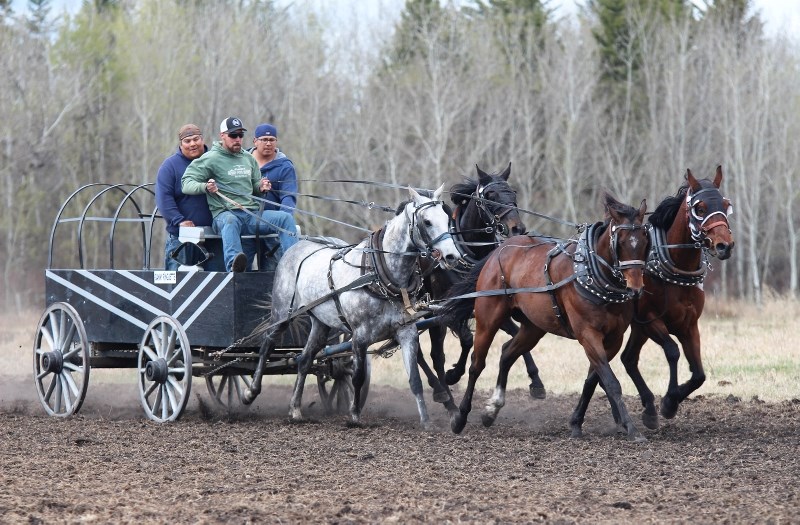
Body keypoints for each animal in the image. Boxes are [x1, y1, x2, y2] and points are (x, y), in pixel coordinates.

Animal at [241, 186, 460, 428]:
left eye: (447, 218)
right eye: (427, 221)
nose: (452, 256)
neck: (380, 275)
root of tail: (295, 246)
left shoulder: (407, 331)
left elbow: (414, 379)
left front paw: (427, 422)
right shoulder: (360, 336)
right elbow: (357, 376)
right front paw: (354, 416)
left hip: (320, 323)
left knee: (305, 359)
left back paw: (296, 409)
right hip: (282, 313)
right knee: (267, 345)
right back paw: (251, 392)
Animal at [440, 190, 652, 440]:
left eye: (645, 241)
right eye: (620, 242)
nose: (636, 288)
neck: (592, 274)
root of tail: (499, 250)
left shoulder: (614, 339)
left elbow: (594, 380)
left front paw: (576, 423)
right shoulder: (588, 334)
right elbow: (611, 382)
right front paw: (631, 428)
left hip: (533, 327)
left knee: (507, 354)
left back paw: (493, 408)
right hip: (487, 320)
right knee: (476, 365)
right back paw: (460, 417)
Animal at [620, 166, 736, 428]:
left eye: (726, 205)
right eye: (700, 208)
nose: (725, 246)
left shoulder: (689, 325)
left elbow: (699, 374)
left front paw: (670, 401)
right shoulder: (650, 320)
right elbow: (672, 351)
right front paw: (669, 401)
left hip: (637, 329)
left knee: (628, 359)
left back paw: (648, 406)